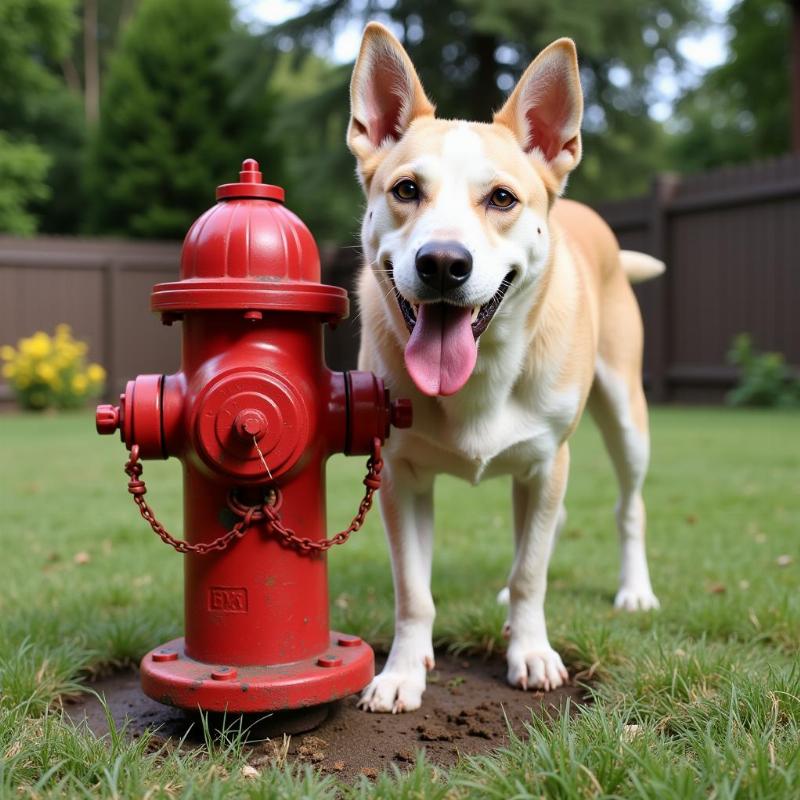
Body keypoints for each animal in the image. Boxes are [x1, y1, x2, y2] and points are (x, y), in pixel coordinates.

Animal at [346, 23, 664, 712]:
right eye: (406, 190)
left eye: (501, 198)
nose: (443, 263)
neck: (480, 378)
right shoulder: (400, 475)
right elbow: (415, 590)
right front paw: (403, 671)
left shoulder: (547, 463)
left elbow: (531, 573)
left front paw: (532, 652)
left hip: (627, 418)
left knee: (629, 507)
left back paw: (634, 590)